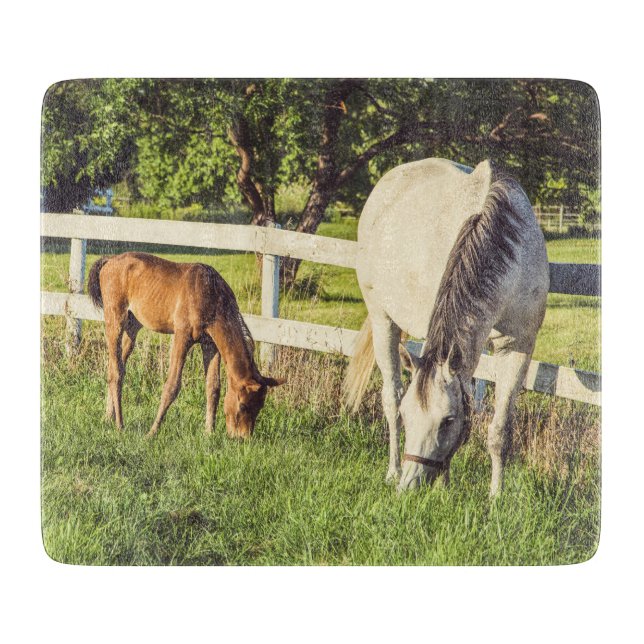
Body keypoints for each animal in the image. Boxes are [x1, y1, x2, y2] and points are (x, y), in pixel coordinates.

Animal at [88, 252, 284, 439]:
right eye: (243, 405)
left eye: (260, 407)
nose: (241, 437)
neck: (212, 295)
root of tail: (109, 261)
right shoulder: (182, 336)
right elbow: (172, 385)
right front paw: (152, 432)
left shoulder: (211, 344)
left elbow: (213, 387)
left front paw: (209, 433)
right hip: (115, 320)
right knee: (116, 371)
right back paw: (119, 424)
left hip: (132, 326)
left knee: (118, 365)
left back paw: (108, 416)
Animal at [344, 158, 549, 496]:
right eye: (409, 416)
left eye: (448, 420)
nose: (409, 486)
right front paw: (444, 487)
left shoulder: (517, 345)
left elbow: (500, 429)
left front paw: (496, 496)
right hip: (382, 318)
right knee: (391, 396)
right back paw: (392, 470)